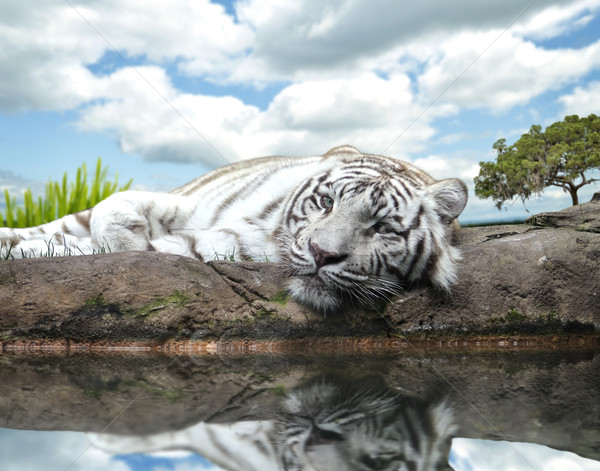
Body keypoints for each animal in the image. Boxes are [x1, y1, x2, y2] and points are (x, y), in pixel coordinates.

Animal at [0, 146, 468, 312]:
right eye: (326, 202)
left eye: (382, 227)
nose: (322, 254)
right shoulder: (185, 204)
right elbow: (112, 209)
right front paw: (123, 240)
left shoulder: (213, 243)